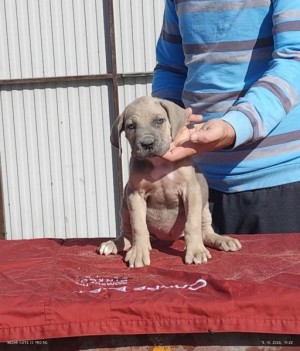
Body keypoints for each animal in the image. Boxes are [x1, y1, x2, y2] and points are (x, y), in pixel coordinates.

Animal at [98, 96, 241, 266]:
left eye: (159, 120)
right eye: (131, 126)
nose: (147, 144)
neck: (159, 163)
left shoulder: (191, 191)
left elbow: (192, 224)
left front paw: (195, 251)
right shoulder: (135, 195)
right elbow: (139, 226)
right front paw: (139, 253)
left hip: (204, 209)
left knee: (204, 231)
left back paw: (223, 240)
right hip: (125, 207)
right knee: (128, 234)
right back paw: (114, 244)